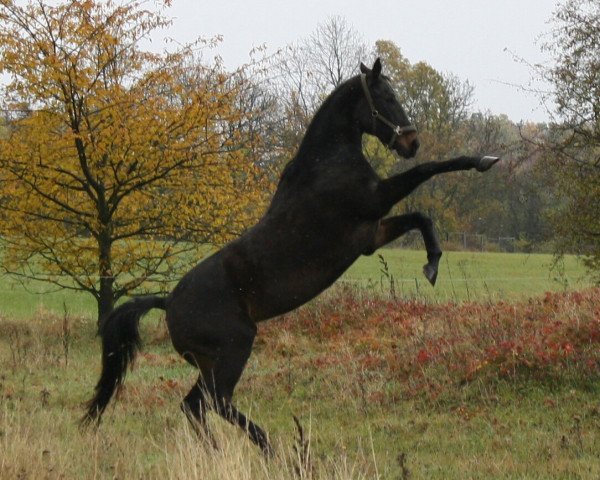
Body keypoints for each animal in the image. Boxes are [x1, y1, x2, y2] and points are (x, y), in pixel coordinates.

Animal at [82, 59, 500, 454]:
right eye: (386, 97)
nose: (411, 142)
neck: (326, 164)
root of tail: (167, 301)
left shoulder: (371, 234)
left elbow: (421, 217)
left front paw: (432, 263)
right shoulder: (375, 202)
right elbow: (431, 170)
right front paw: (483, 160)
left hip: (210, 362)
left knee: (196, 405)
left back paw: (226, 450)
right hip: (234, 349)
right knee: (213, 402)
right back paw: (269, 447)